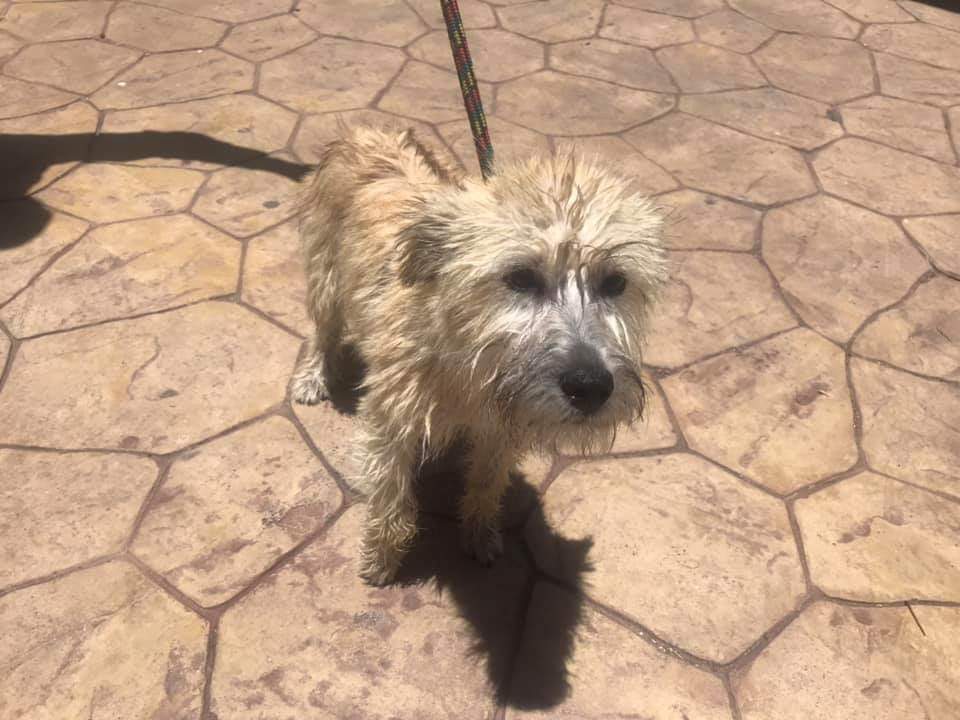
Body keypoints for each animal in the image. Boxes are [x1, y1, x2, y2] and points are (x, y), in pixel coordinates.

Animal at [290, 125, 667, 585]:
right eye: (520, 278)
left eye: (615, 282)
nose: (591, 387)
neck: (472, 367)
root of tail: (364, 131)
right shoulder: (389, 424)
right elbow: (391, 499)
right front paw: (381, 559)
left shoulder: (500, 431)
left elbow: (487, 483)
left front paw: (479, 533)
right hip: (325, 277)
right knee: (321, 331)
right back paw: (312, 375)